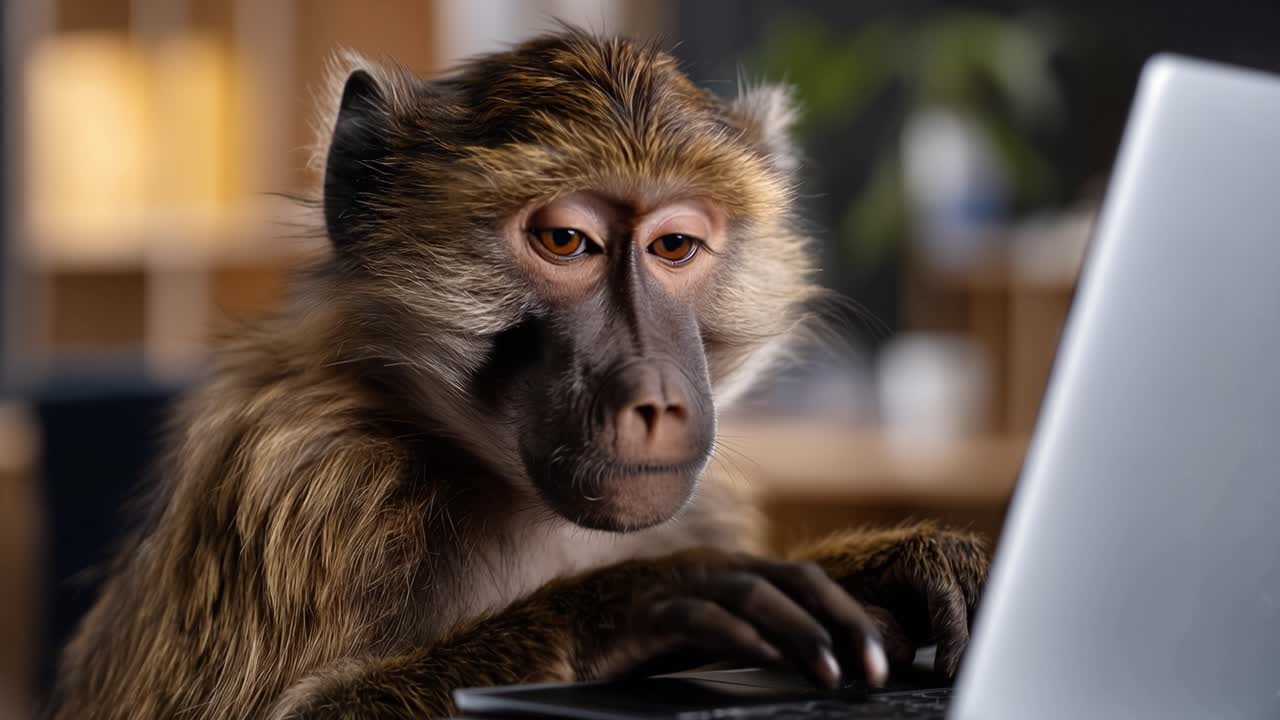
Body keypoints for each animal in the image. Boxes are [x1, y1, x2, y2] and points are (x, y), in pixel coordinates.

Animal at [49, 28, 989, 720]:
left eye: (674, 246)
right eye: (566, 242)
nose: (655, 396)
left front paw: (886, 566)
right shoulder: (300, 480)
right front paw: (626, 605)